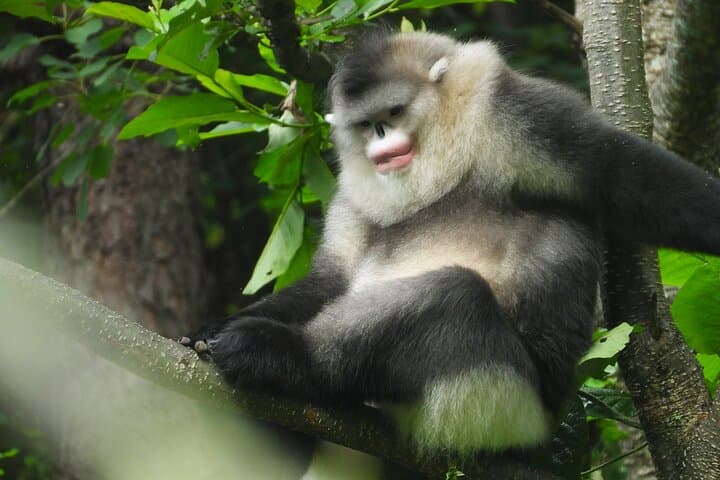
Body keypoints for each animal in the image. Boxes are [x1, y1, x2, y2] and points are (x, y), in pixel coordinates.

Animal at [181, 31, 720, 457]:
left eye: (394, 112)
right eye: (365, 124)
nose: (381, 141)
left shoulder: (518, 111)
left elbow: (627, 176)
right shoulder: (353, 194)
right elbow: (332, 278)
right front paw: (206, 329)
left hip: (503, 408)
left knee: (451, 296)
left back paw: (280, 356)